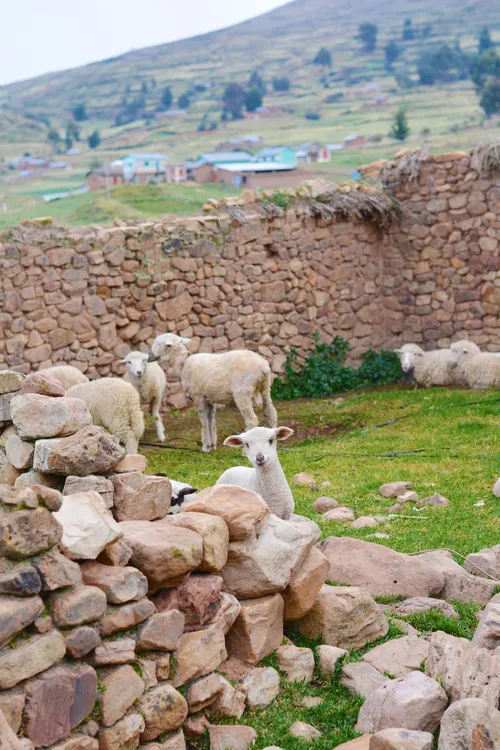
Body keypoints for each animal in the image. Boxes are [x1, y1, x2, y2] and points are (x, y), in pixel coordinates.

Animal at [148, 333, 278, 452]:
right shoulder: (209, 398)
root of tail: (263, 367)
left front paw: (205, 447)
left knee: (251, 419)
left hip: (242, 391)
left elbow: (204, 421)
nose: (149, 358)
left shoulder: (199, 396)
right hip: (265, 388)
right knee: (270, 413)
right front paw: (212, 446)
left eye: (158, 344)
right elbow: (211, 421)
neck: (183, 363)